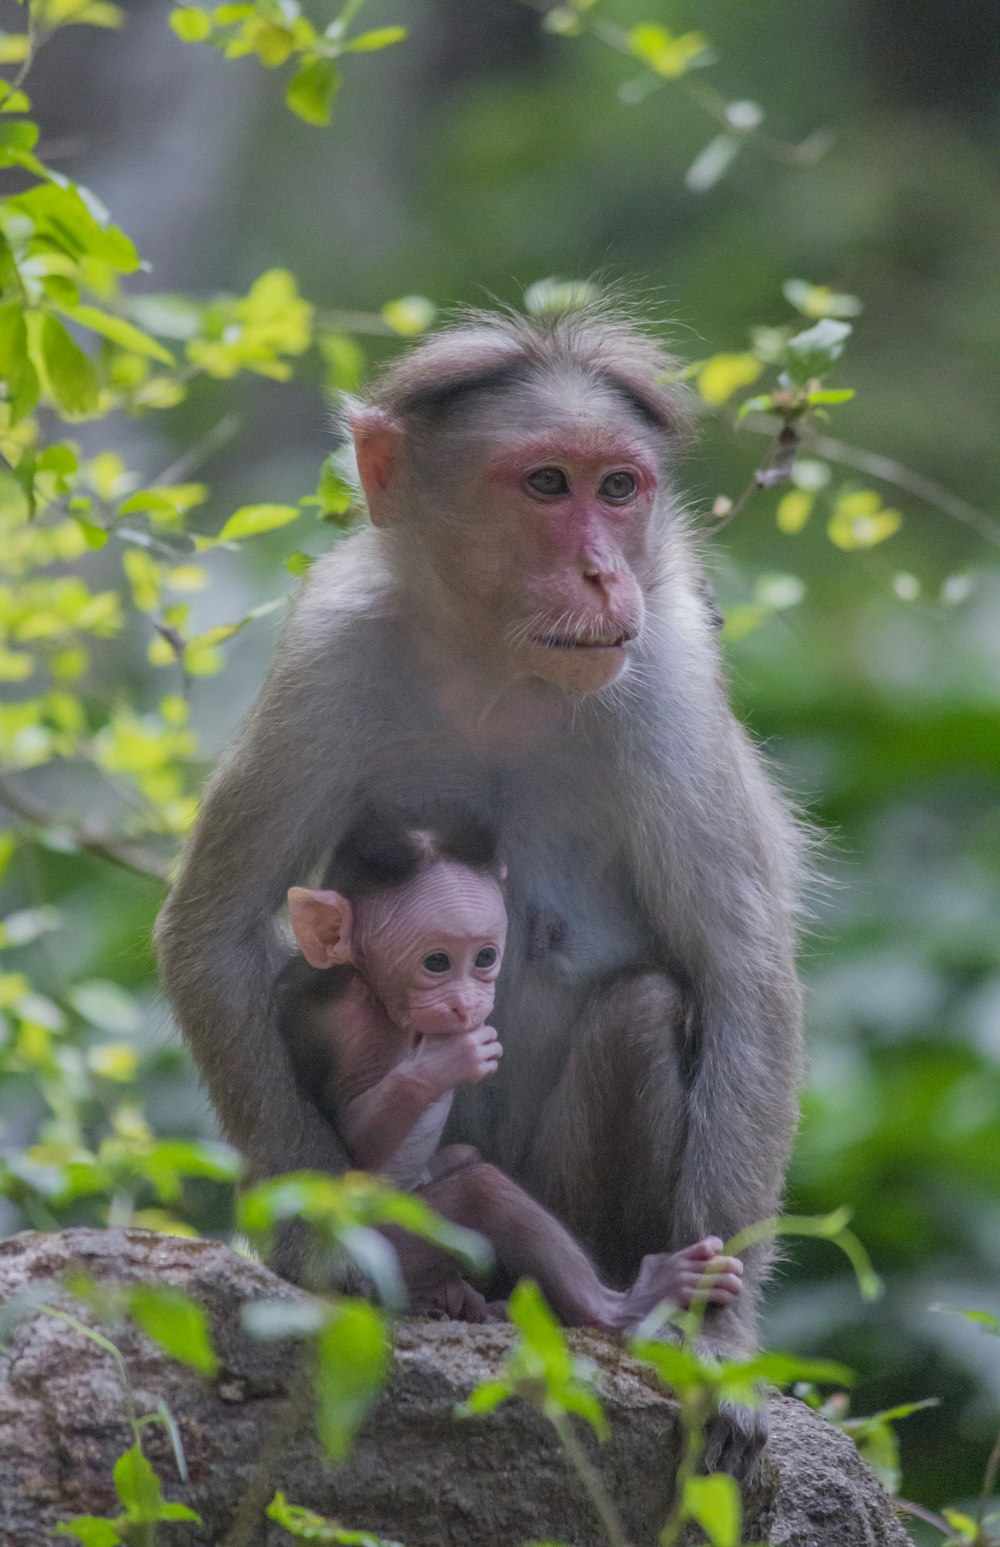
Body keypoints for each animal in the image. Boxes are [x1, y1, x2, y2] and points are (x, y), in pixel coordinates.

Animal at [281, 810, 743, 1330]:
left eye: (485, 956)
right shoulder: (352, 1025)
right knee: (481, 1195)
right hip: (380, 1245)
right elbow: (360, 1147)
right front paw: (443, 1062)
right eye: (436, 962)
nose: (468, 1003)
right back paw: (622, 1305)